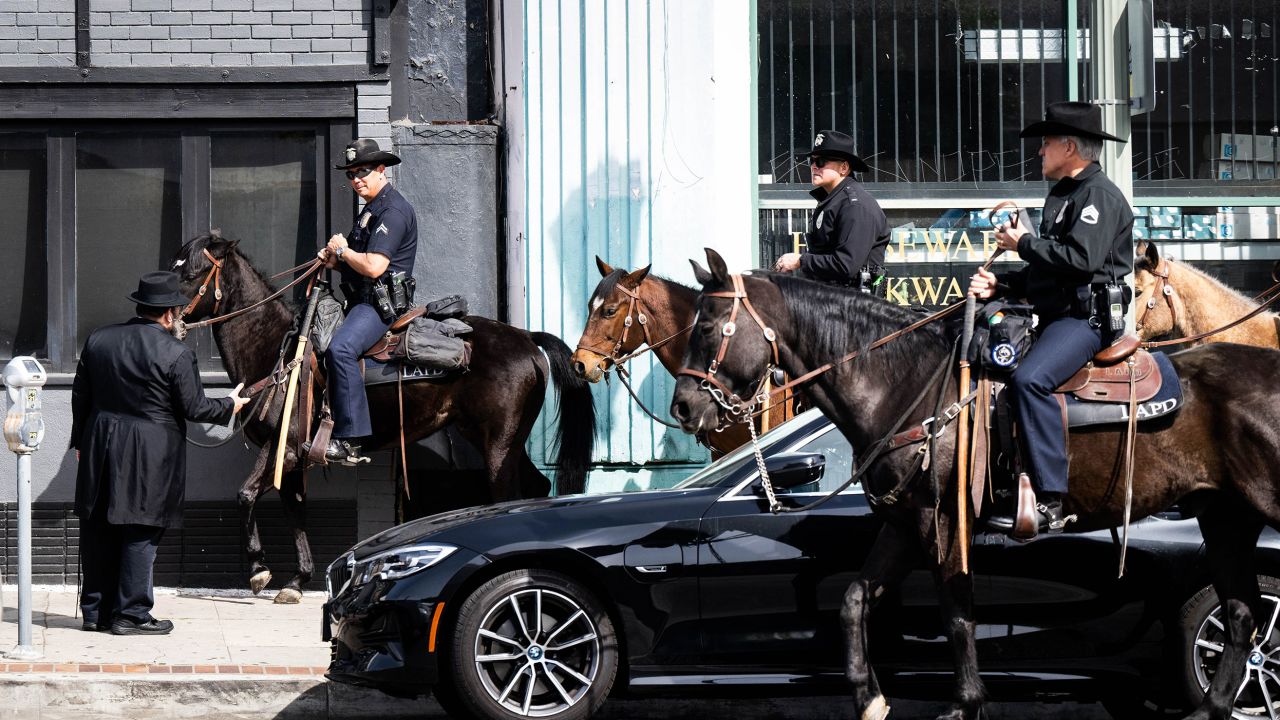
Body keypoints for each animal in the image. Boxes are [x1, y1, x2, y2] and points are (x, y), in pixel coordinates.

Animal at [170, 234, 599, 599]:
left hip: (498, 443)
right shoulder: (289, 456)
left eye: (190, 274)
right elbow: (295, 508)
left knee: (507, 495)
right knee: (537, 487)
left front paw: (259, 569)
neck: (279, 350)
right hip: (504, 439)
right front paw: (297, 580)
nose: (167, 318)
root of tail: (526, 339)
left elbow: (245, 495)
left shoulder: (284, 448)